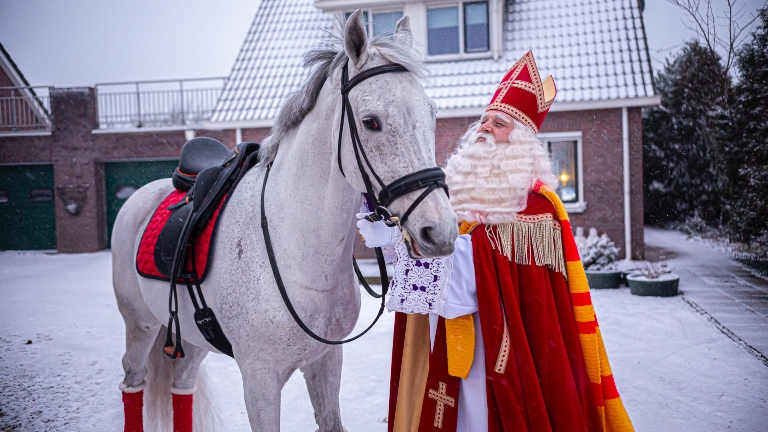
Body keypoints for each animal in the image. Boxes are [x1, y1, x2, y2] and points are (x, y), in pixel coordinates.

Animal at [112, 11, 460, 430]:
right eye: (371, 122)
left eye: (432, 114)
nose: (440, 230)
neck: (296, 252)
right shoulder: (259, 380)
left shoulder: (326, 362)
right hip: (140, 325)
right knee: (133, 379)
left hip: (193, 339)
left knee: (182, 383)